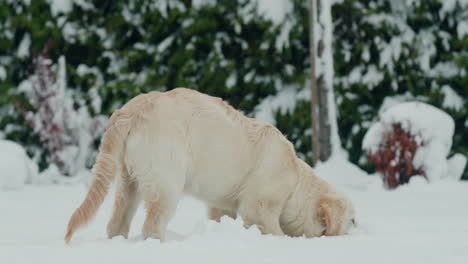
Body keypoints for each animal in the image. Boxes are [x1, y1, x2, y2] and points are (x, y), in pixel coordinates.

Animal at [65, 87, 354, 242]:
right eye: (353, 220)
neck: (295, 182)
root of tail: (131, 110)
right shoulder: (260, 203)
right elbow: (268, 224)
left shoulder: (221, 204)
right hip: (166, 175)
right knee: (153, 222)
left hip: (130, 176)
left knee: (118, 220)